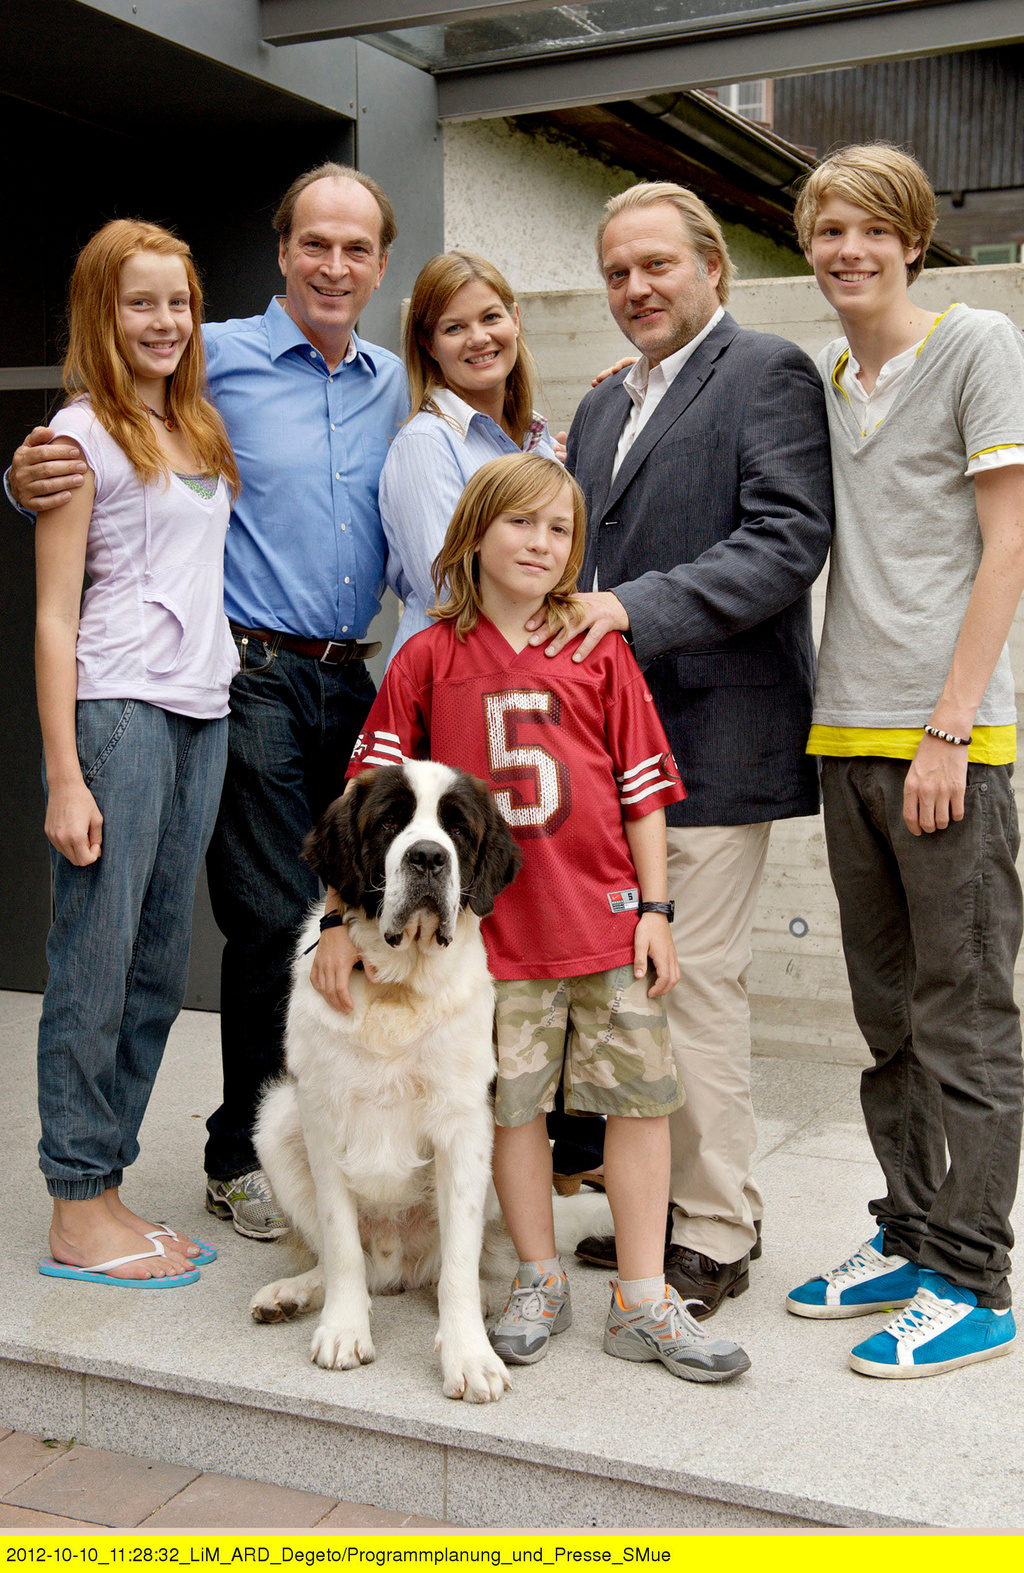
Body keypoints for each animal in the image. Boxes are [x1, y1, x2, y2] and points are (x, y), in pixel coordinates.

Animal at [250, 760, 521, 1403]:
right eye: (390, 823)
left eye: (457, 829)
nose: (427, 857)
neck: (398, 989)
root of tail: (401, 1266)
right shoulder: (321, 1115)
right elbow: (341, 1242)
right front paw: (343, 1331)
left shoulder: (464, 1125)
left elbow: (459, 1264)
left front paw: (470, 1356)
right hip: (275, 1121)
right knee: (353, 1261)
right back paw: (292, 1294)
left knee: (460, 1263)